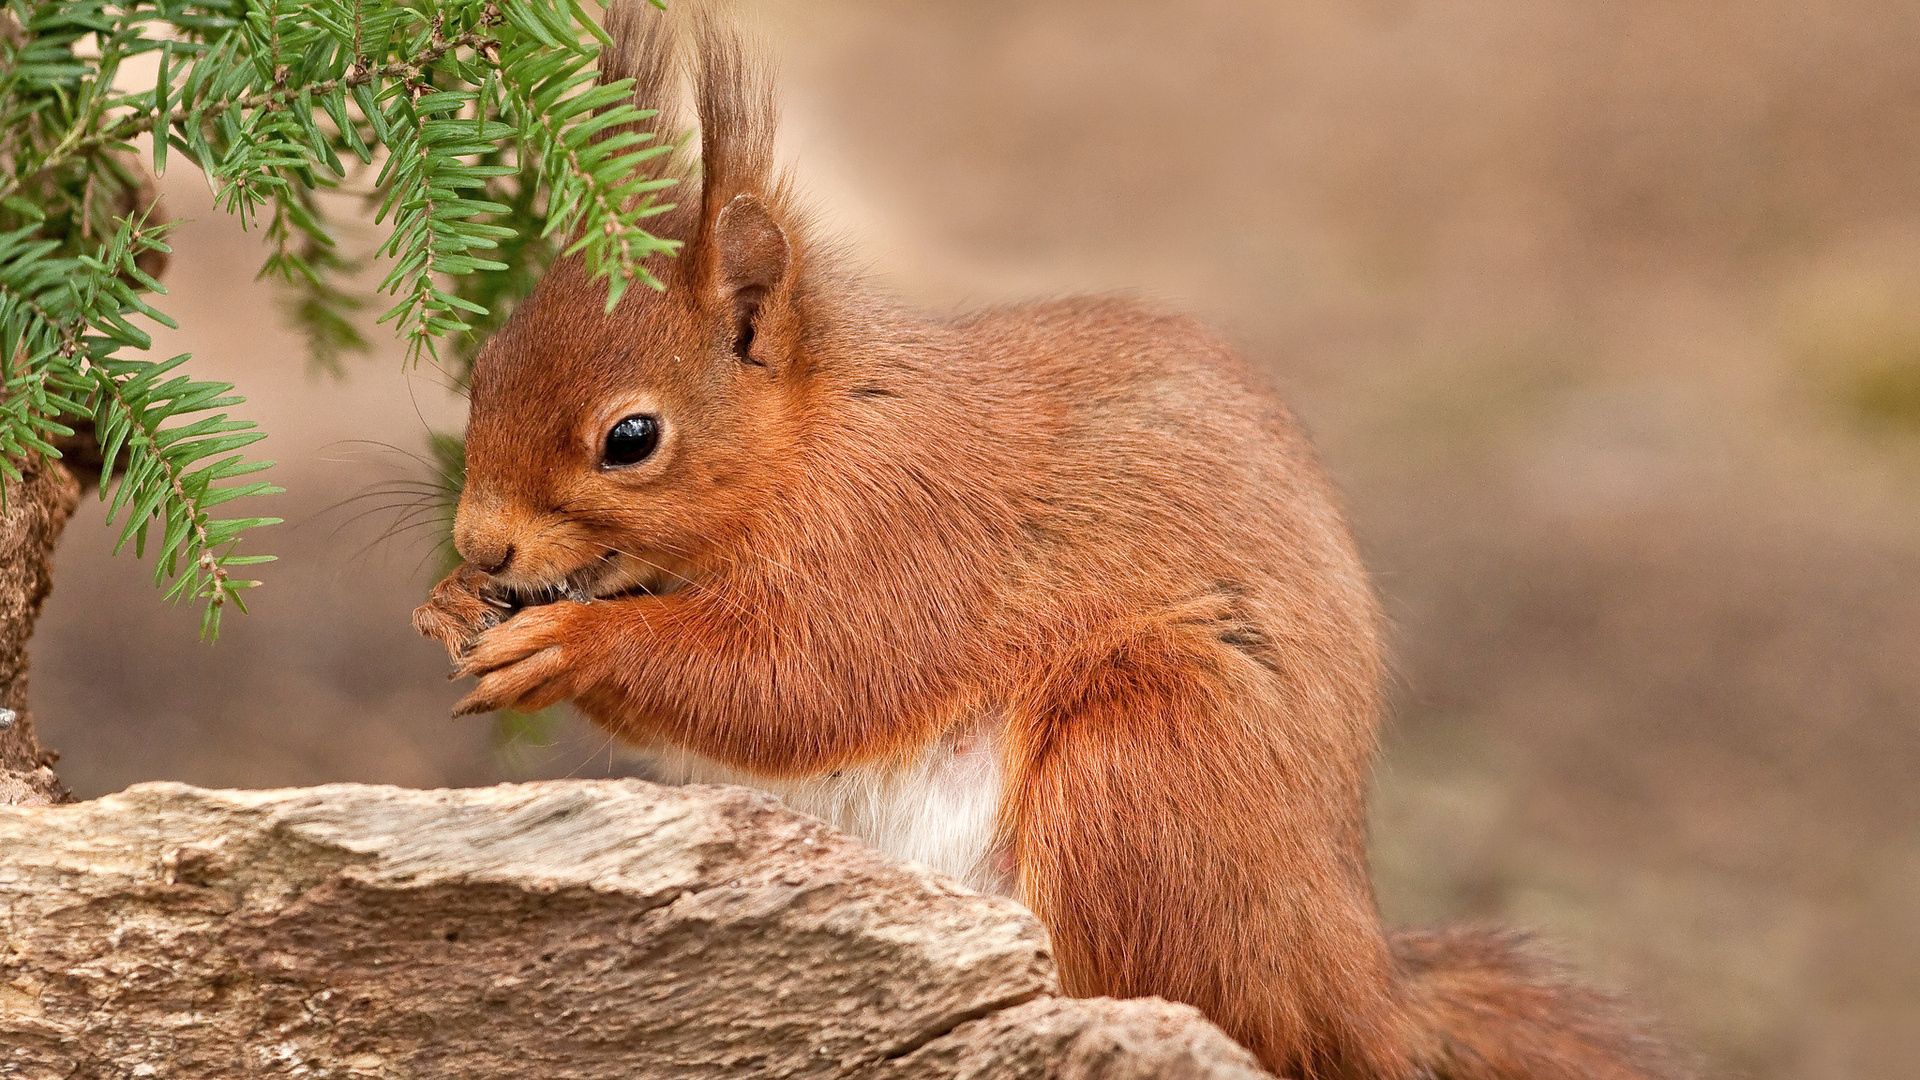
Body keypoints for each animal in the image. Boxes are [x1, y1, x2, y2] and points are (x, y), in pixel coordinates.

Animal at [412, 4, 1689, 1068]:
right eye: (485, 367)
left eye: (631, 438)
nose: (483, 545)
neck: (819, 437)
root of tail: (1354, 985)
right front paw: (446, 603)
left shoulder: (911, 538)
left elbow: (801, 683)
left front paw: (570, 647)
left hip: (1149, 760)